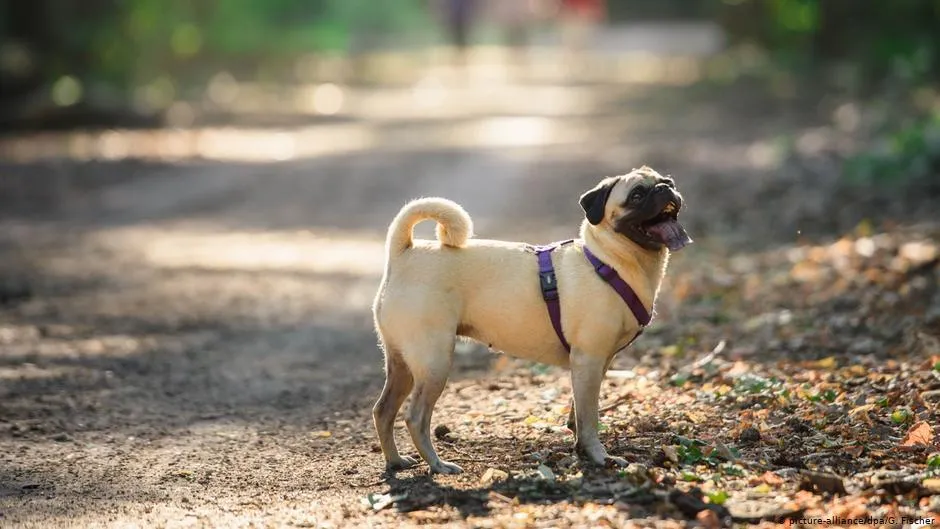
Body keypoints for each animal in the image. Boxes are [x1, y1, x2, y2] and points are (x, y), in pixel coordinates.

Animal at [370, 166, 688, 474]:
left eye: (668, 181)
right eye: (637, 195)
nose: (665, 189)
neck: (609, 260)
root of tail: (405, 251)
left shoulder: (594, 364)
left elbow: (577, 413)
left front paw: (581, 450)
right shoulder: (589, 359)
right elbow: (589, 418)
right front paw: (599, 457)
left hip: (402, 364)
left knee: (383, 410)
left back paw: (395, 462)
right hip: (434, 363)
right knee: (415, 418)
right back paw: (437, 465)